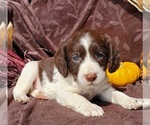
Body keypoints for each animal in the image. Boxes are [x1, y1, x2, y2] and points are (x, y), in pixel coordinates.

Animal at [13, 29, 150, 116]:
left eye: (100, 55)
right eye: (75, 58)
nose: (91, 77)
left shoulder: (104, 89)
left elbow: (118, 94)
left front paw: (133, 101)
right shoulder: (66, 93)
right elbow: (79, 98)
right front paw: (90, 106)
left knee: (32, 90)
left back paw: (41, 94)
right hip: (30, 69)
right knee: (19, 89)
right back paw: (21, 97)